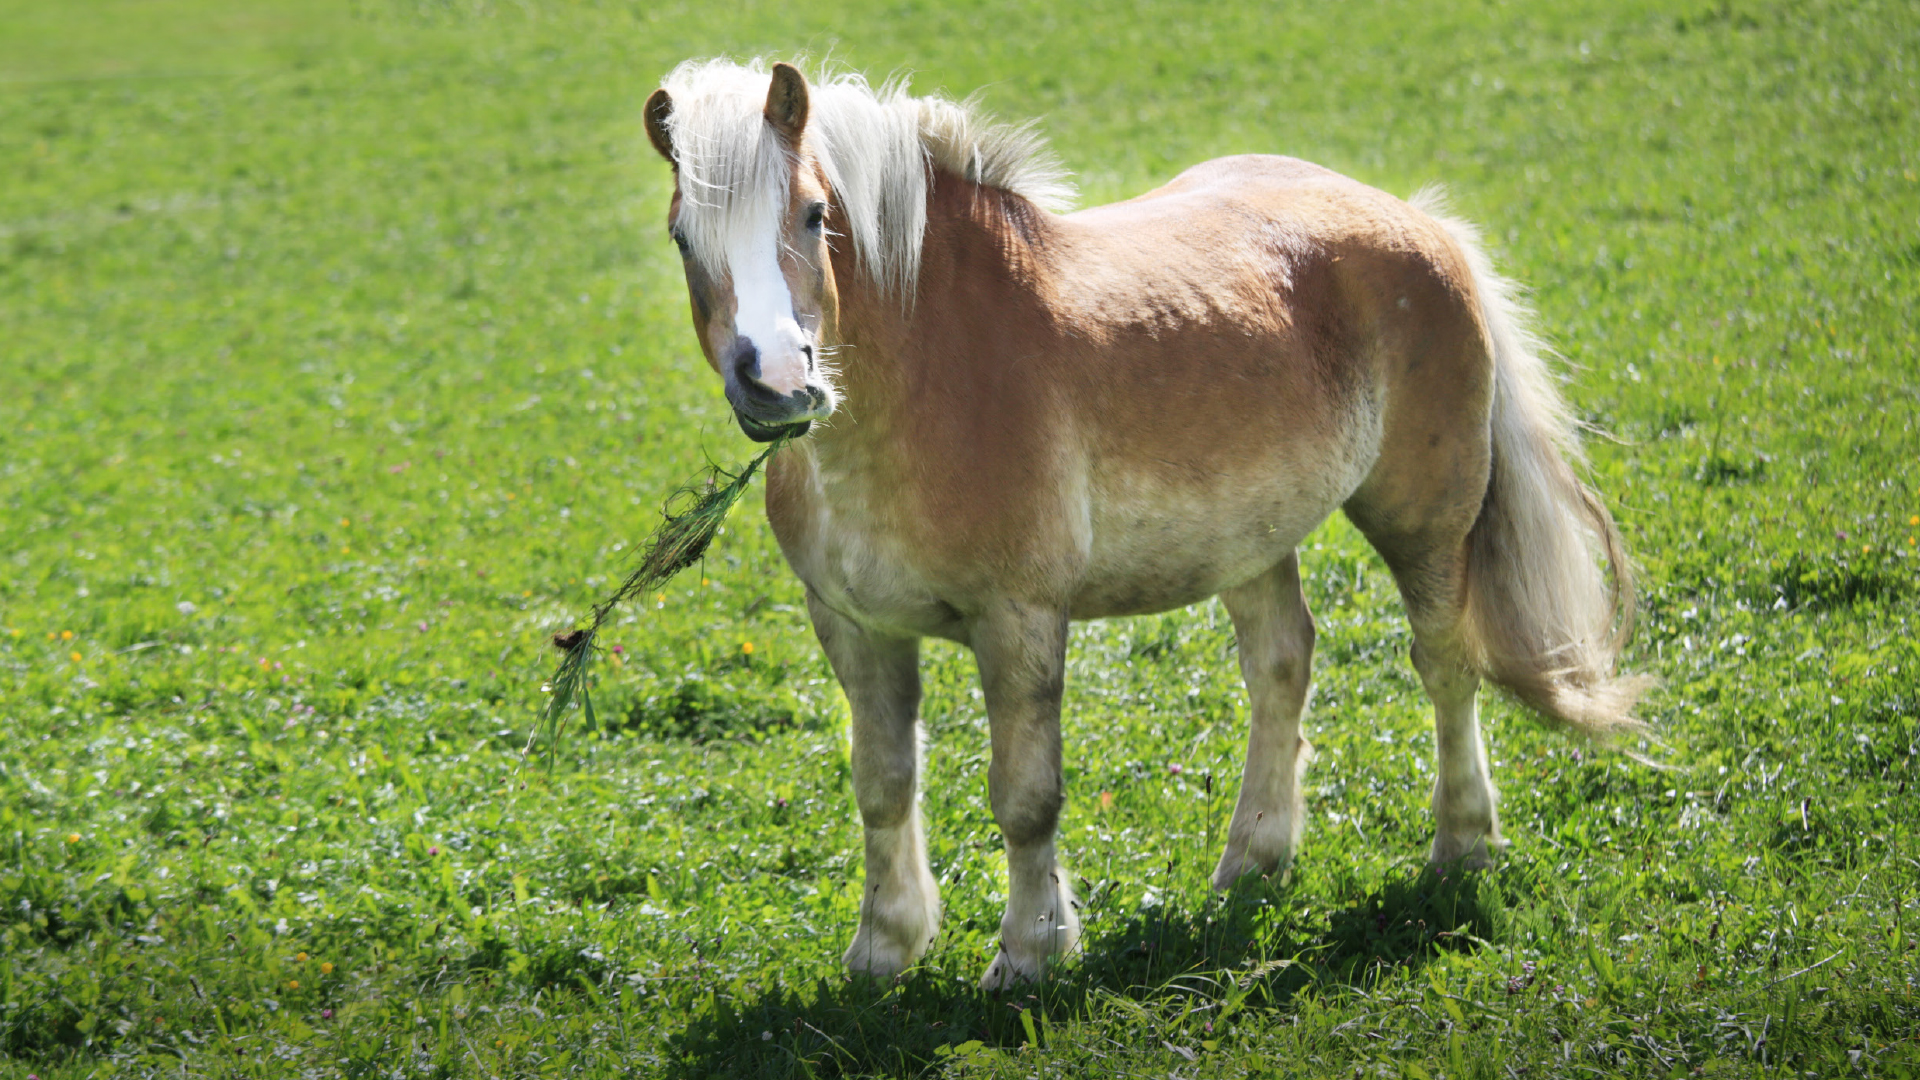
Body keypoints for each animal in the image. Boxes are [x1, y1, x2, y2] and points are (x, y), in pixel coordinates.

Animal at [633, 56, 1651, 983]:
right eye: (682, 236)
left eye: (814, 215)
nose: (777, 383)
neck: (928, 374)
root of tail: (1421, 220)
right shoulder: (853, 625)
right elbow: (883, 785)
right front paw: (883, 949)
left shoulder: (1020, 620)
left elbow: (1025, 797)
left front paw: (1030, 955)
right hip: (1254, 542)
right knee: (1282, 664)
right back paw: (1253, 862)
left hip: (1425, 521)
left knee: (1446, 667)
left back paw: (1460, 849)